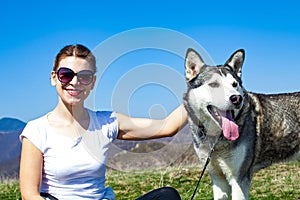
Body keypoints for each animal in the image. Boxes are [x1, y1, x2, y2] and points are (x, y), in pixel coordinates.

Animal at [184, 48, 298, 200]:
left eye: (234, 84)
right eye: (214, 84)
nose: (236, 98)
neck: (217, 139)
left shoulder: (239, 179)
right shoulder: (217, 179)